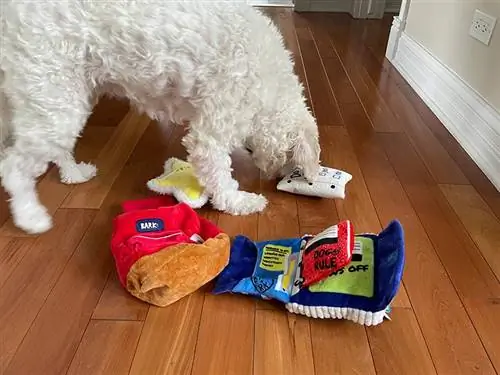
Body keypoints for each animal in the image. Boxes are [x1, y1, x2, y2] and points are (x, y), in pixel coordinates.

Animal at [0, 0, 320, 235]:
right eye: (292, 159)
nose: (280, 176)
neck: (271, 85)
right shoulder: (213, 130)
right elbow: (219, 174)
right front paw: (239, 201)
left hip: (63, 96)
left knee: (52, 146)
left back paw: (74, 173)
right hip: (51, 90)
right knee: (14, 168)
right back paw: (30, 217)